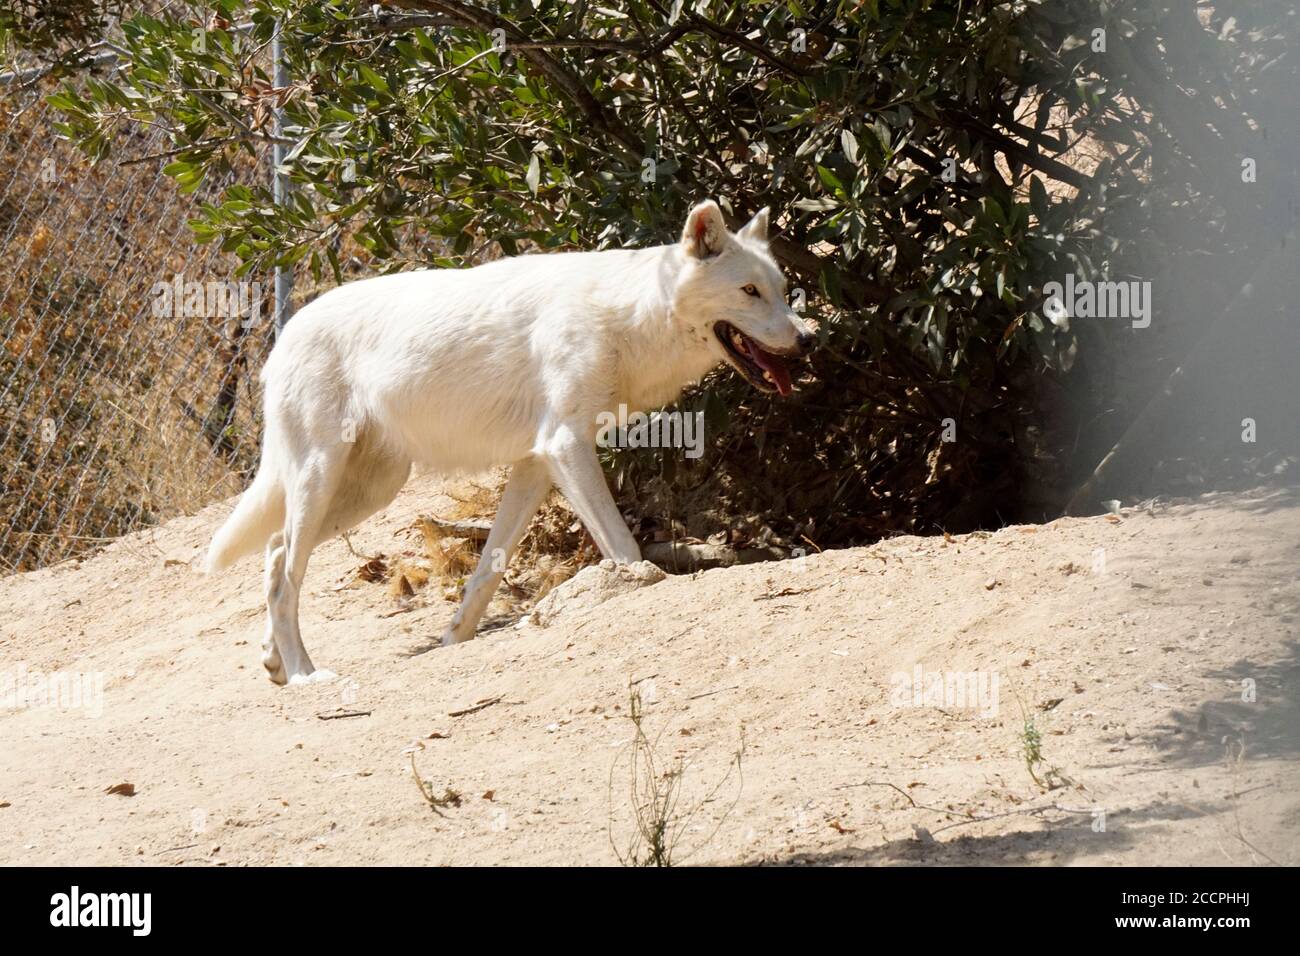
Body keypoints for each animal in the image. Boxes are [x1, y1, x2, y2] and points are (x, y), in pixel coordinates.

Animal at [202, 201, 811, 686]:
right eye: (749, 292)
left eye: (782, 291)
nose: (809, 339)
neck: (629, 317)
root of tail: (284, 335)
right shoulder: (566, 447)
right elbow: (625, 549)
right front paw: (634, 588)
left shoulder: (536, 464)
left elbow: (487, 571)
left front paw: (453, 642)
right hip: (323, 479)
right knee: (285, 575)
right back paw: (305, 675)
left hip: (366, 493)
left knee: (274, 550)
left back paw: (274, 662)